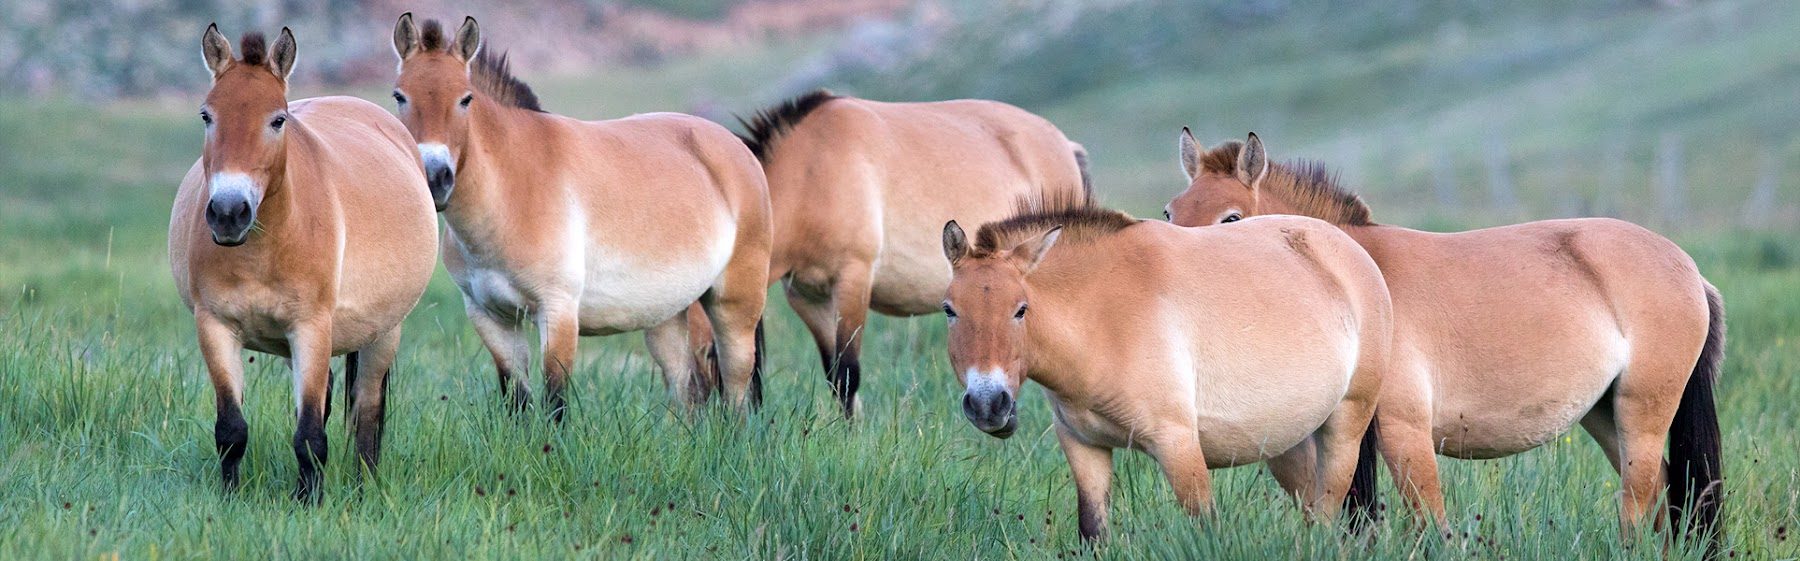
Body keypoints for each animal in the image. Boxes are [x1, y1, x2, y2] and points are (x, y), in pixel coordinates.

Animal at [169, 26, 438, 500]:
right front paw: (230, 496)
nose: (228, 212)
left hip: (384, 332)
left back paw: (365, 486)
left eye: (278, 120)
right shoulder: (215, 327)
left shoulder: (311, 328)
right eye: (206, 116)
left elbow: (311, 434)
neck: (263, 249)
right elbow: (231, 429)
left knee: (367, 412)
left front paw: (308, 500)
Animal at [390, 15, 772, 417]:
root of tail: (735, 146)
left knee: (736, 390)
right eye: (399, 96)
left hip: (735, 307)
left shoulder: (557, 312)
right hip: (667, 316)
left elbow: (555, 403)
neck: (514, 188)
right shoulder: (491, 318)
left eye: (465, 99)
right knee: (688, 391)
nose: (435, 177)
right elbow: (519, 400)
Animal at [728, 90, 1091, 417]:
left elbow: (848, 375)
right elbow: (834, 376)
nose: (728, 424)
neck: (812, 172)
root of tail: (1066, 146)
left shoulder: (853, 282)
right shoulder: (807, 298)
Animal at [940, 199, 1392, 540]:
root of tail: (1352, 251)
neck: (1102, 317)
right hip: (1290, 444)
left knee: (1328, 513)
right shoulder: (1083, 447)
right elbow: (1093, 532)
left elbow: (1206, 528)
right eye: (949, 310)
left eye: (1020, 309)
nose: (988, 404)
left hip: (1344, 429)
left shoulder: (1178, 445)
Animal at [1166, 130, 1725, 548]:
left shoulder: (1401, 429)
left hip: (1641, 413)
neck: (1346, 274)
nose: (1179, 275)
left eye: (1231, 218)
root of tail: (1689, 269)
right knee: (1662, 496)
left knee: (1639, 503)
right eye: (1171, 213)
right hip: (1605, 415)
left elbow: (1428, 524)